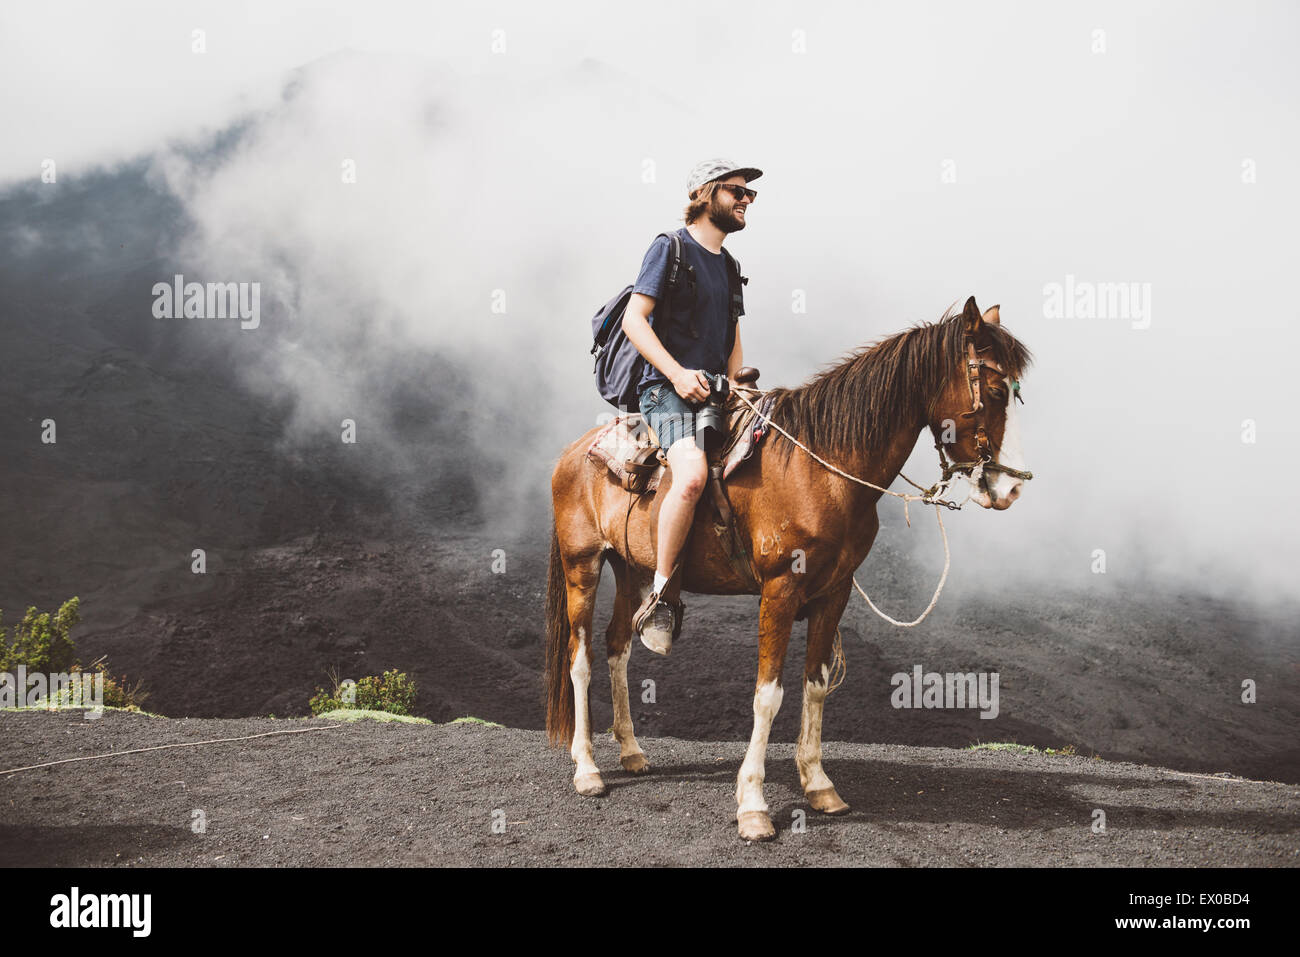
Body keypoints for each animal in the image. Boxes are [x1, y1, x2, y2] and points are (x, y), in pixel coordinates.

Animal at [543, 295, 1029, 842]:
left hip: (631, 568)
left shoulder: (834, 593)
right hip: (582, 565)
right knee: (580, 659)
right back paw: (587, 768)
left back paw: (630, 751)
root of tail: (571, 453)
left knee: (617, 647)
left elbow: (815, 685)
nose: (1009, 487)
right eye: (994, 389)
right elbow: (768, 695)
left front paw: (818, 785)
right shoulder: (779, 590)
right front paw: (752, 806)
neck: (819, 468)